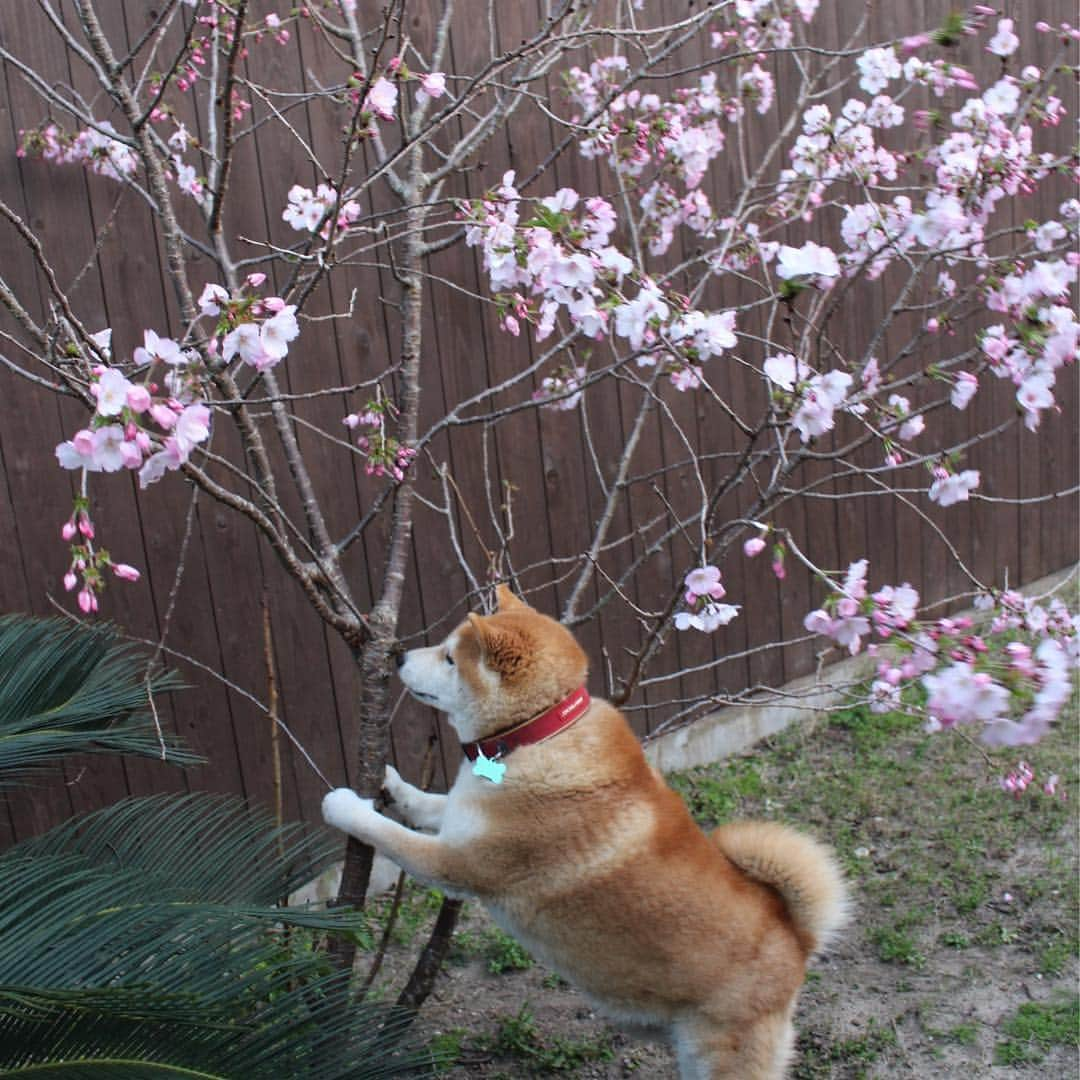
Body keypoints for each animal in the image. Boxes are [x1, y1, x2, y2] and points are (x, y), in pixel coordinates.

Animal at [324, 587, 846, 1075]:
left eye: (450, 658)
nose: (398, 657)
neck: (538, 735)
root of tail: (796, 942)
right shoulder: (459, 819)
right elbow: (423, 803)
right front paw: (389, 782)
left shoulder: (461, 864)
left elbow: (391, 836)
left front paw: (344, 806)